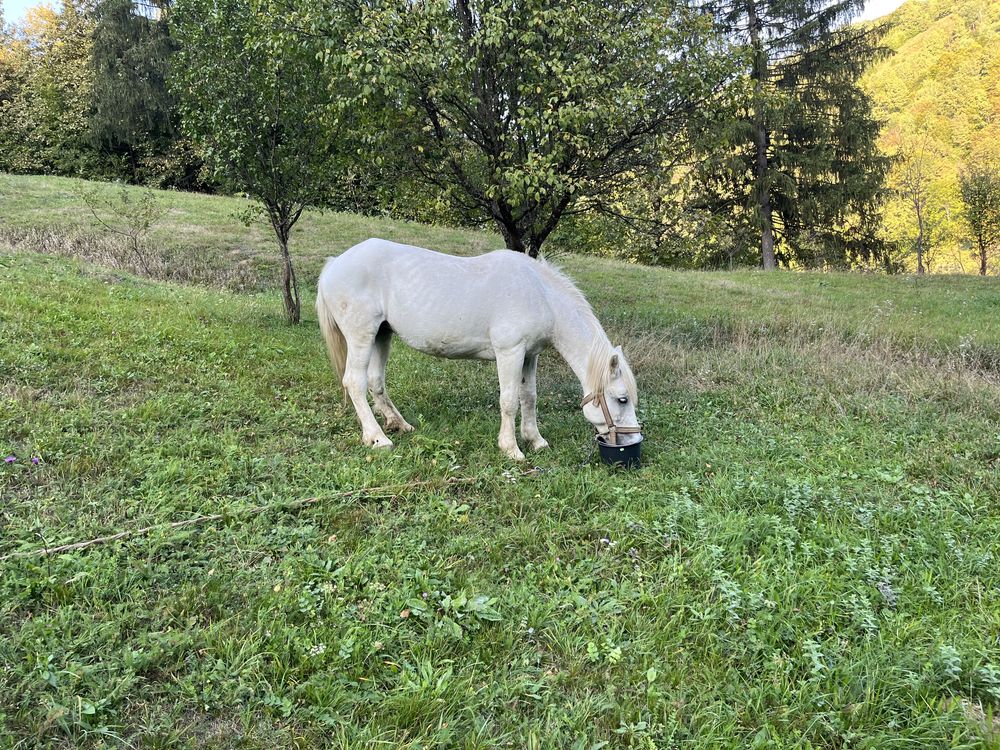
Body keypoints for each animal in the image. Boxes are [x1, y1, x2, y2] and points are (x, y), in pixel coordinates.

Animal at [316, 241, 640, 464]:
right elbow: (509, 401)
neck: (539, 294)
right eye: (622, 399)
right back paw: (377, 438)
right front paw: (511, 448)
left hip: (381, 335)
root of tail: (334, 264)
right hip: (362, 336)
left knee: (376, 382)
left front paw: (535, 440)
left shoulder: (529, 355)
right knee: (355, 383)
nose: (634, 438)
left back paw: (399, 424)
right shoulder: (510, 352)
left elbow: (529, 397)